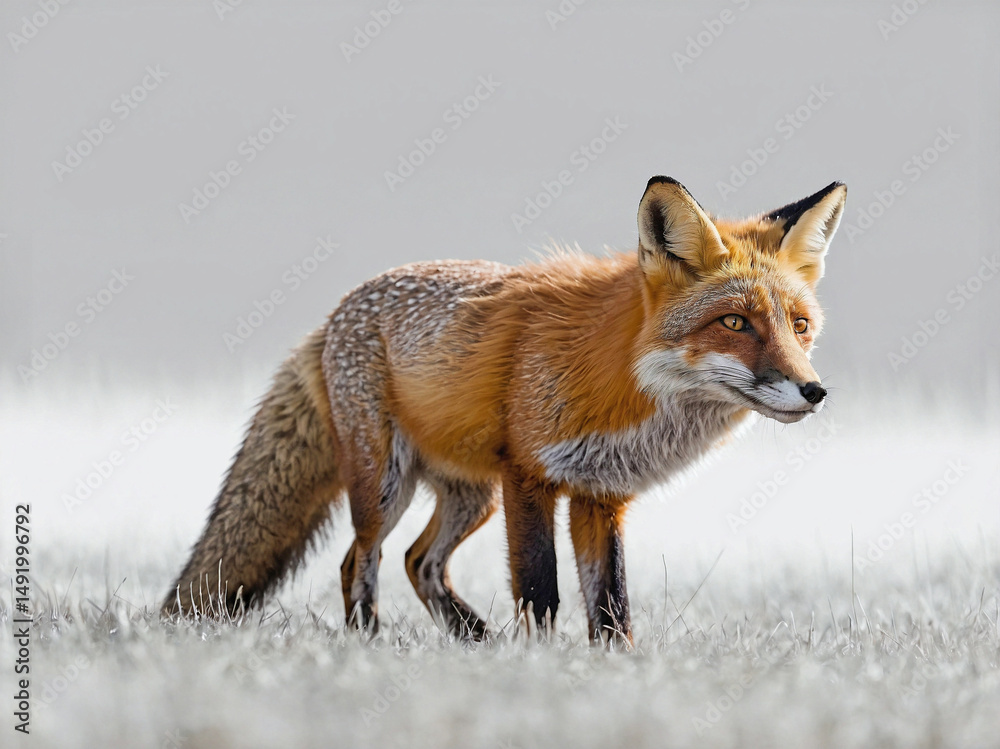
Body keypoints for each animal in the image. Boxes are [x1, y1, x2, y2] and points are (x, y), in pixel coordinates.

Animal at [162, 176, 847, 645]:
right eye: (734, 323)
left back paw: (473, 641)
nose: (814, 390)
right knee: (361, 559)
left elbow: (611, 603)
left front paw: (615, 670)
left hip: (472, 496)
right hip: (386, 485)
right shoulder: (528, 476)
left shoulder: (601, 494)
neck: (624, 385)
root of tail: (333, 315)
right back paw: (369, 645)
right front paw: (538, 664)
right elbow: (540, 589)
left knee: (419, 562)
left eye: (800, 326)